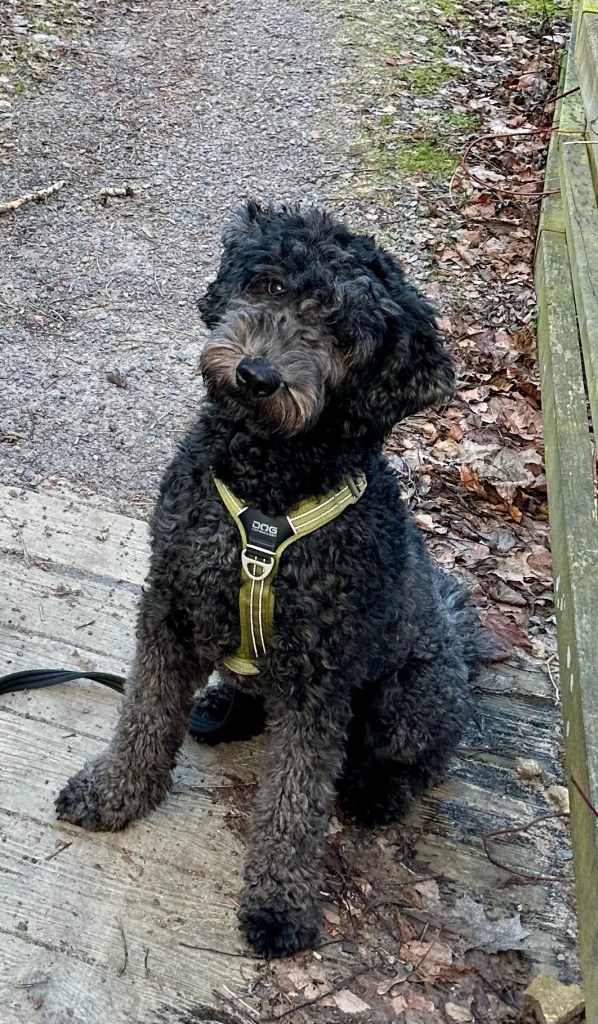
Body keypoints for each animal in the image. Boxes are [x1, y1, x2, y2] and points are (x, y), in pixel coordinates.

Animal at [56, 202, 494, 959]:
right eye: (269, 285)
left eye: (343, 332)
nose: (258, 374)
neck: (265, 483)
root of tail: (456, 642)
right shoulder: (171, 606)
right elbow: (143, 715)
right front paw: (117, 792)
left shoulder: (322, 673)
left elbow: (295, 801)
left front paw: (280, 903)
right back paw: (225, 709)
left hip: (413, 695)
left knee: (419, 756)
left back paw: (379, 790)